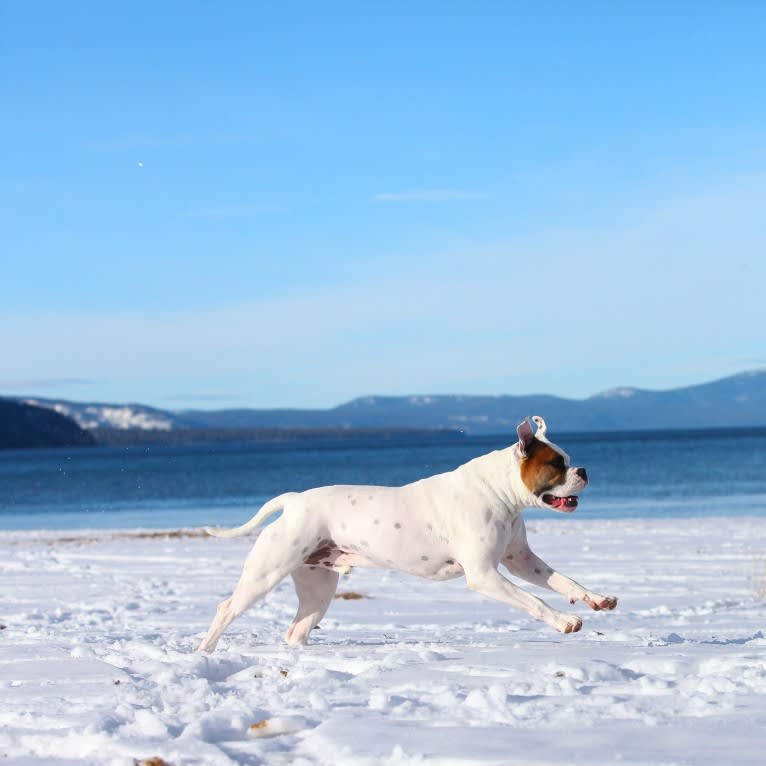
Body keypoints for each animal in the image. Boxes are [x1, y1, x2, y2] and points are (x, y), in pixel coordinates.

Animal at [198, 416, 616, 652]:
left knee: (297, 630)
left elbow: (564, 581)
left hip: (318, 587)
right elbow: (533, 600)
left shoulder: (522, 562)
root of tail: (295, 500)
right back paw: (205, 651)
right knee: (226, 609)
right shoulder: (484, 575)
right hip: (266, 573)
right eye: (557, 464)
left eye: (568, 460)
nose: (584, 470)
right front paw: (564, 621)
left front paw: (596, 599)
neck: (497, 491)